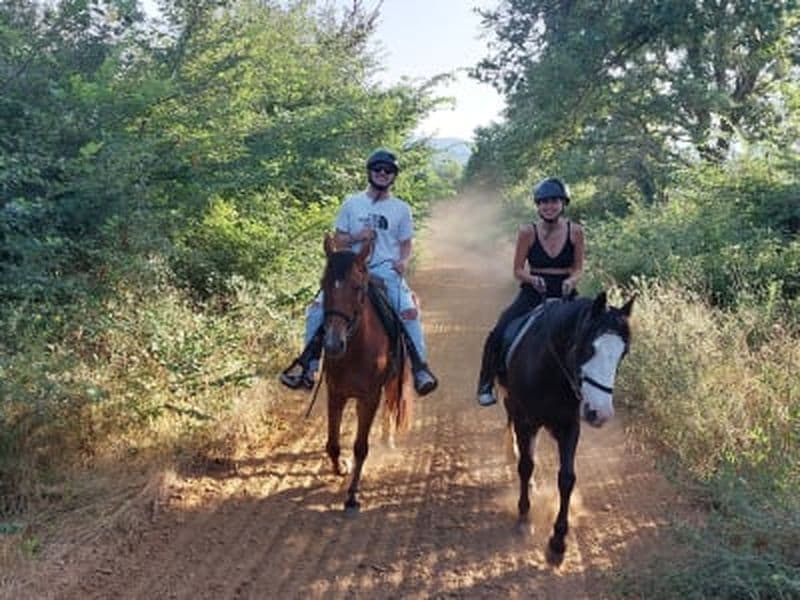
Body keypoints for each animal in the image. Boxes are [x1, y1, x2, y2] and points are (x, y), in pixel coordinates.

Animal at [320, 233, 413, 514]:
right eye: (323, 285)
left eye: (357, 288)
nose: (333, 344)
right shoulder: (335, 393)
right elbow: (333, 443)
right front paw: (341, 468)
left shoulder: (369, 396)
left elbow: (360, 447)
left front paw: (352, 494)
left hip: (393, 381)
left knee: (391, 407)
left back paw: (388, 439)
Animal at [499, 292, 634, 564]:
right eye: (589, 348)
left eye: (623, 353)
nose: (600, 413)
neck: (549, 372)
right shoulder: (525, 420)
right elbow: (525, 466)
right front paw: (524, 517)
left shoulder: (569, 427)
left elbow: (567, 478)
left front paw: (558, 542)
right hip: (512, 403)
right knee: (513, 428)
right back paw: (511, 451)